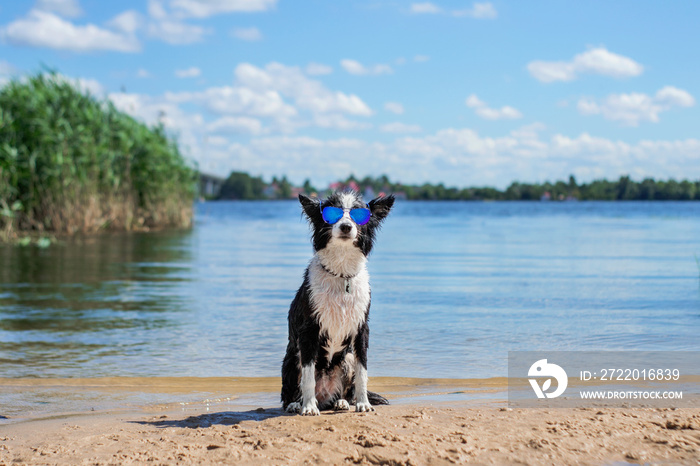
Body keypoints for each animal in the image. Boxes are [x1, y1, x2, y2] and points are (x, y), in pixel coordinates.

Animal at [284, 189, 394, 416]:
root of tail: (324, 397)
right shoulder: (308, 330)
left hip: (346, 358)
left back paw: (341, 402)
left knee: (343, 391)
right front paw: (308, 407)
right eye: (332, 213)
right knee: (292, 391)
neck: (342, 275)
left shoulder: (362, 328)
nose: (345, 226)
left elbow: (362, 371)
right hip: (294, 356)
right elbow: (308, 376)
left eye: (358, 214)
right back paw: (297, 403)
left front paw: (363, 403)